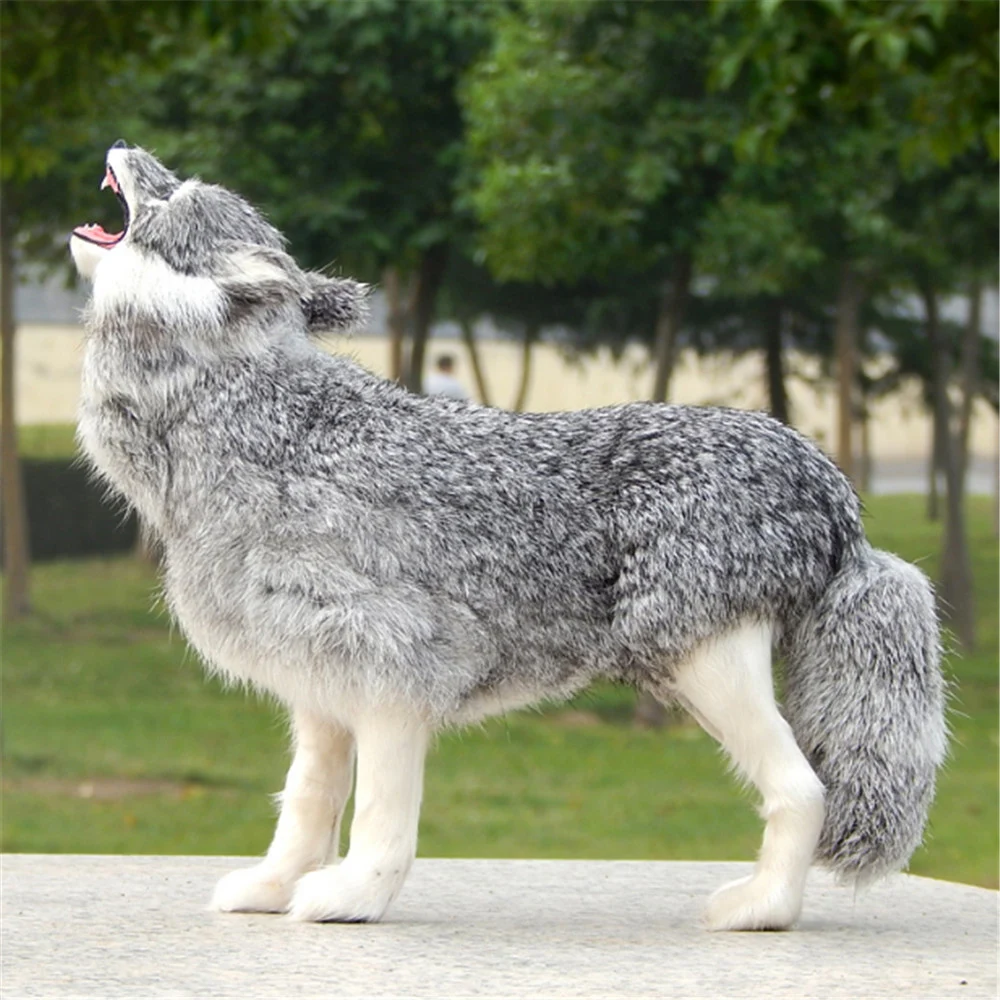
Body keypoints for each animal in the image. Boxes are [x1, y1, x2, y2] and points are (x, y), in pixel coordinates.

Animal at [70, 143, 946, 931]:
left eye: (175, 194)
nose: (124, 145)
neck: (257, 421)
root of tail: (836, 494)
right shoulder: (320, 687)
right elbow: (308, 804)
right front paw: (275, 889)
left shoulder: (393, 676)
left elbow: (381, 816)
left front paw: (353, 900)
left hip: (707, 667)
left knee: (805, 789)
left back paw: (760, 911)